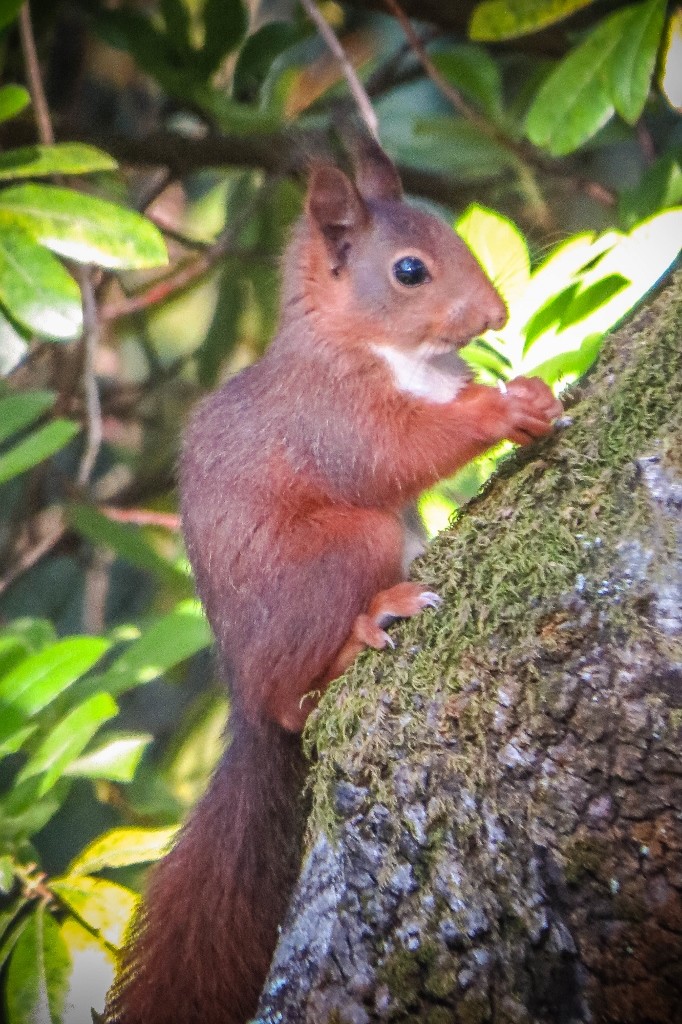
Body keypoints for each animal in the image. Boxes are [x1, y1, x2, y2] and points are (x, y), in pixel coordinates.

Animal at [104, 139, 563, 1024]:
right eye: (410, 271)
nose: (495, 315)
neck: (387, 351)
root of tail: (242, 695)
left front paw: (526, 392)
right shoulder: (336, 419)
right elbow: (398, 455)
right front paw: (498, 411)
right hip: (350, 550)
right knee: (295, 697)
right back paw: (367, 627)